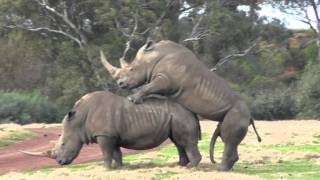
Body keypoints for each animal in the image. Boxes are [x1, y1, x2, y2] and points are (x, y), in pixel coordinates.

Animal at [21, 90, 201, 168]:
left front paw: (105, 168)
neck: (79, 120)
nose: (59, 162)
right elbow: (116, 153)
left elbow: (106, 153)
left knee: (184, 142)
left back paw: (191, 167)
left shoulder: (104, 135)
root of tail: (192, 111)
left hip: (180, 115)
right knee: (178, 142)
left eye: (64, 144)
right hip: (175, 116)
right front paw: (119, 168)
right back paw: (180, 165)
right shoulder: (111, 135)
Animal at [101, 40, 262, 171]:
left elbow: (148, 87)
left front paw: (132, 99)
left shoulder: (165, 79)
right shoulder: (165, 81)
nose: (120, 83)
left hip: (237, 113)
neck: (154, 56)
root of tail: (250, 116)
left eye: (131, 69)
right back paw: (225, 169)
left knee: (228, 139)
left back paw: (220, 170)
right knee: (225, 134)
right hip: (236, 114)